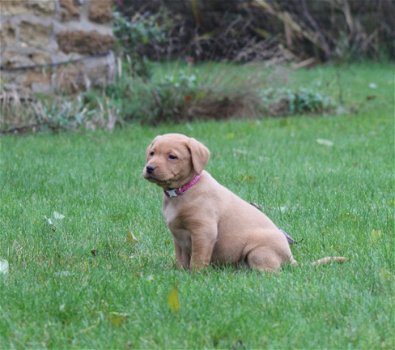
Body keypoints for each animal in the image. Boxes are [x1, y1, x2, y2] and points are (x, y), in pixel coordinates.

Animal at [143, 133, 346, 272]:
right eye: (152, 153)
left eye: (172, 156)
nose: (149, 168)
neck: (182, 191)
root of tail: (291, 259)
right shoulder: (178, 237)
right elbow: (181, 258)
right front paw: (180, 273)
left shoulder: (204, 232)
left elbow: (198, 258)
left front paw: (195, 276)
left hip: (258, 251)